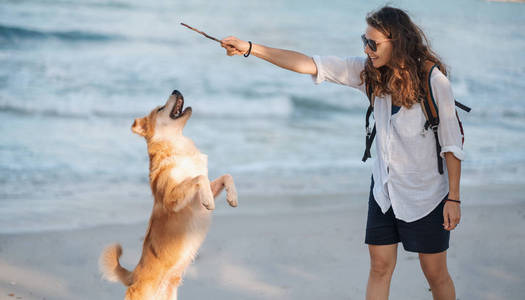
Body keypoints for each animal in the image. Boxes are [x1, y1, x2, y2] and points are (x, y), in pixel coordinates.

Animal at [99, 89, 237, 300]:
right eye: (160, 108)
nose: (176, 90)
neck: (178, 147)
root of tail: (133, 276)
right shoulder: (172, 198)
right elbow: (198, 179)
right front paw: (208, 200)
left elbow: (225, 176)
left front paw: (232, 197)